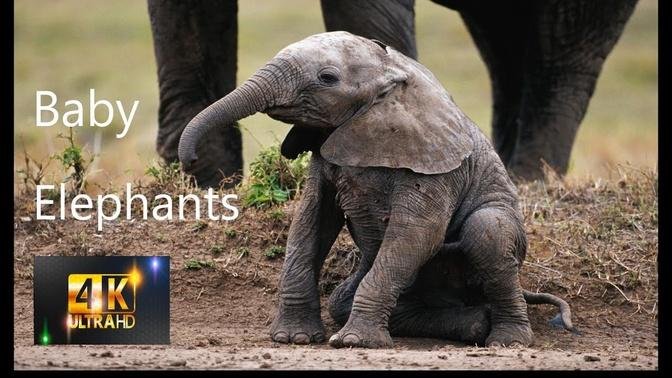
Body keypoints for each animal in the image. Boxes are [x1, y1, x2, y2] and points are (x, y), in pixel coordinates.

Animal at [150, 0, 636, 186]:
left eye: (328, 78)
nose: (188, 158)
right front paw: (206, 186)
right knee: (506, 47)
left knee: (563, 47)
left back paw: (532, 181)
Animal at [180, 31, 576, 346]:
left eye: (327, 78)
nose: (189, 160)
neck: (391, 75)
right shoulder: (326, 155)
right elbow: (311, 223)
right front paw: (293, 339)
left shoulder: (436, 166)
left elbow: (417, 233)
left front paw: (354, 343)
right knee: (342, 299)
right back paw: (475, 324)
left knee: (487, 231)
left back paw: (507, 340)